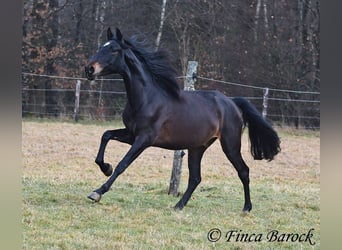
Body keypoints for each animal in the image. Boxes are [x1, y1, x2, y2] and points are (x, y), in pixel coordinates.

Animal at [84, 27, 280, 211]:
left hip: (230, 145)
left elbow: (123, 164)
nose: (89, 69)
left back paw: (246, 208)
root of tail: (232, 103)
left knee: (243, 171)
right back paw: (178, 205)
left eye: (114, 50)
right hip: (197, 147)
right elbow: (106, 135)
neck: (147, 98)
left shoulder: (144, 139)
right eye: (101, 47)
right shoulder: (131, 134)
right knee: (195, 178)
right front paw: (105, 167)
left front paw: (97, 192)